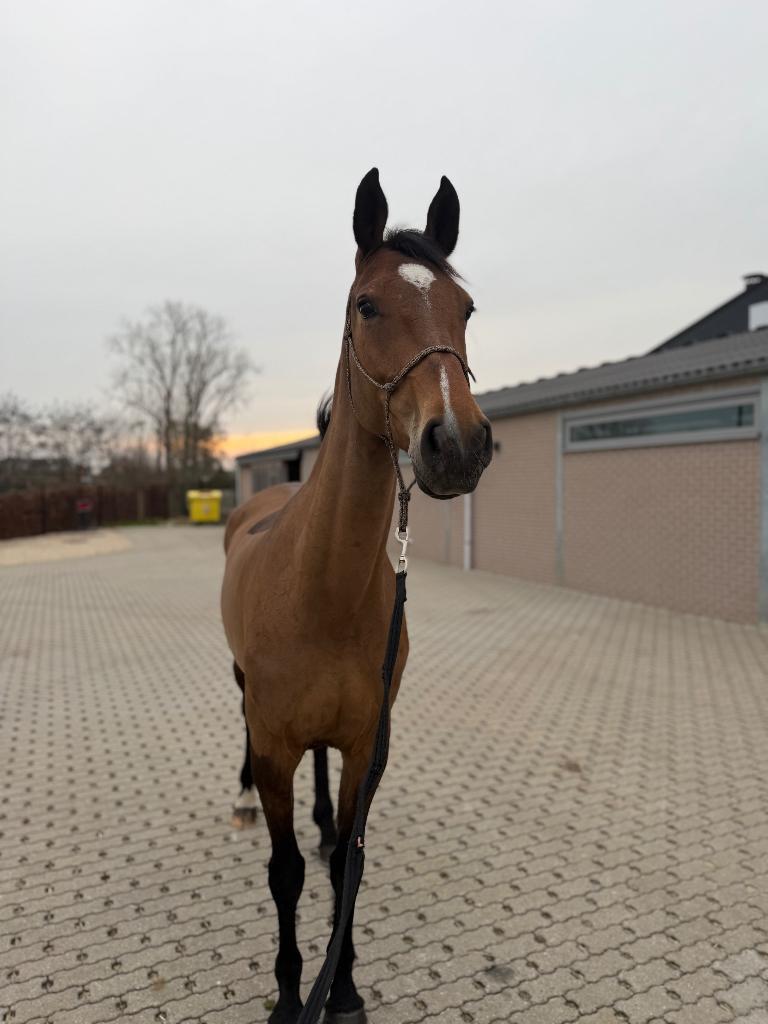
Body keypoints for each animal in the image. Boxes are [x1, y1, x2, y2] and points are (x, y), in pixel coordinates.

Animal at [221, 167, 493, 1024]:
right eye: (366, 305)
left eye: (465, 308)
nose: (458, 444)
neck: (323, 595)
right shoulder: (276, 742)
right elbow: (286, 875)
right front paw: (287, 994)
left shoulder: (368, 741)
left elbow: (348, 864)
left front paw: (340, 988)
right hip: (245, 695)